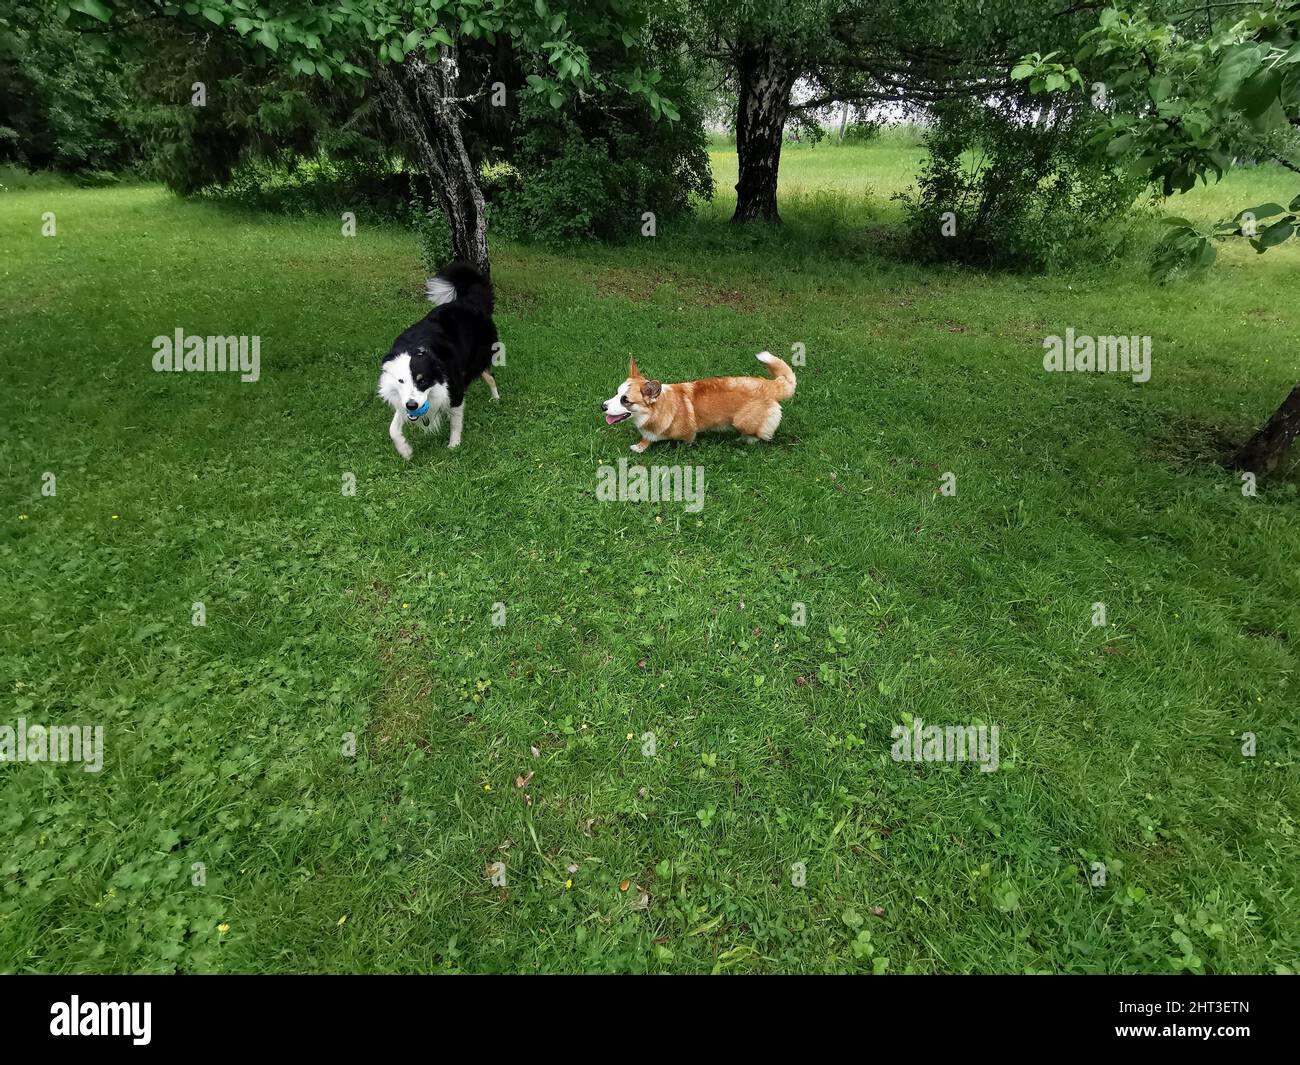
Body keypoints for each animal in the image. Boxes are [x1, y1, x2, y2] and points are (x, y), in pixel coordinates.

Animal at [379, 262, 499, 457]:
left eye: (422, 380)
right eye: (400, 381)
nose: (412, 405)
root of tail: (471, 301)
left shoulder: (455, 391)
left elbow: (455, 422)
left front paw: (454, 444)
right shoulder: (402, 400)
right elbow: (393, 429)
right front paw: (405, 450)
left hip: (475, 363)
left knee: (490, 376)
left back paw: (496, 398)